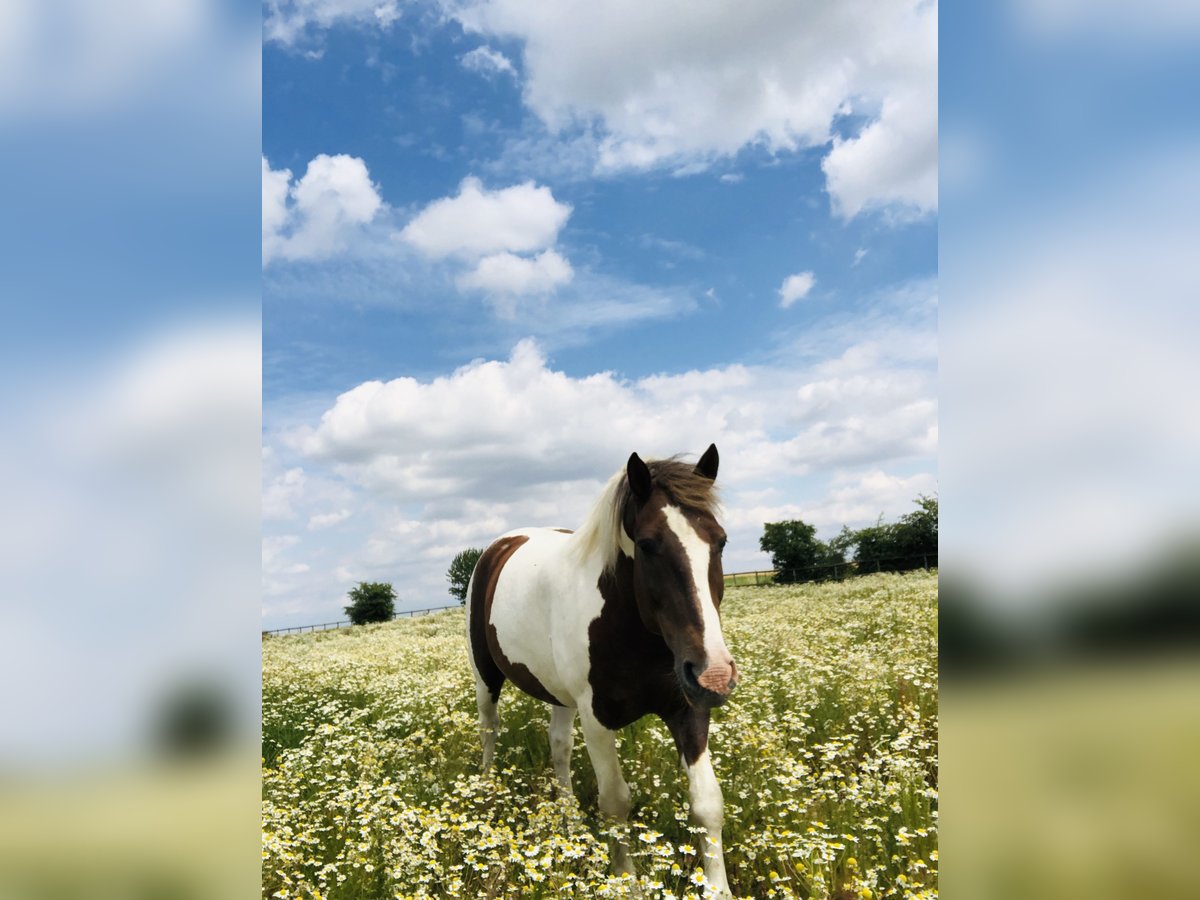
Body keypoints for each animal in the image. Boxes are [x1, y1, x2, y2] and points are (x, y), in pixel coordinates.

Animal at [463, 444, 734, 897]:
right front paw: (628, 883)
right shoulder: (597, 717)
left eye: (721, 541)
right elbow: (615, 804)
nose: (715, 675)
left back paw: (570, 821)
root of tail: (500, 546)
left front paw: (717, 888)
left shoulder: (688, 708)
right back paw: (485, 791)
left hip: (559, 693)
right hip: (486, 677)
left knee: (558, 746)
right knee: (489, 730)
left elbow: (707, 802)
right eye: (647, 544)